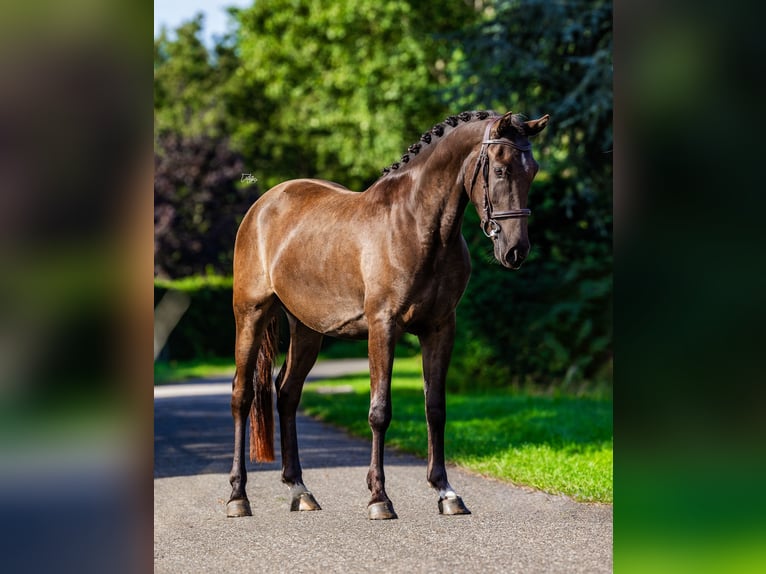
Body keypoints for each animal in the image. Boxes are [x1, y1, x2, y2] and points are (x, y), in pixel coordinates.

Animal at [225, 109, 548, 520]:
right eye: (502, 169)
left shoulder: (441, 328)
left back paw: (300, 489)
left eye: (533, 170)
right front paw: (379, 498)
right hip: (250, 315)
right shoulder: (383, 326)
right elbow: (380, 411)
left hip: (308, 330)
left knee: (286, 393)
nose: (515, 250)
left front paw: (446, 492)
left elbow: (435, 408)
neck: (417, 227)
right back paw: (238, 497)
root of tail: (263, 205)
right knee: (243, 394)